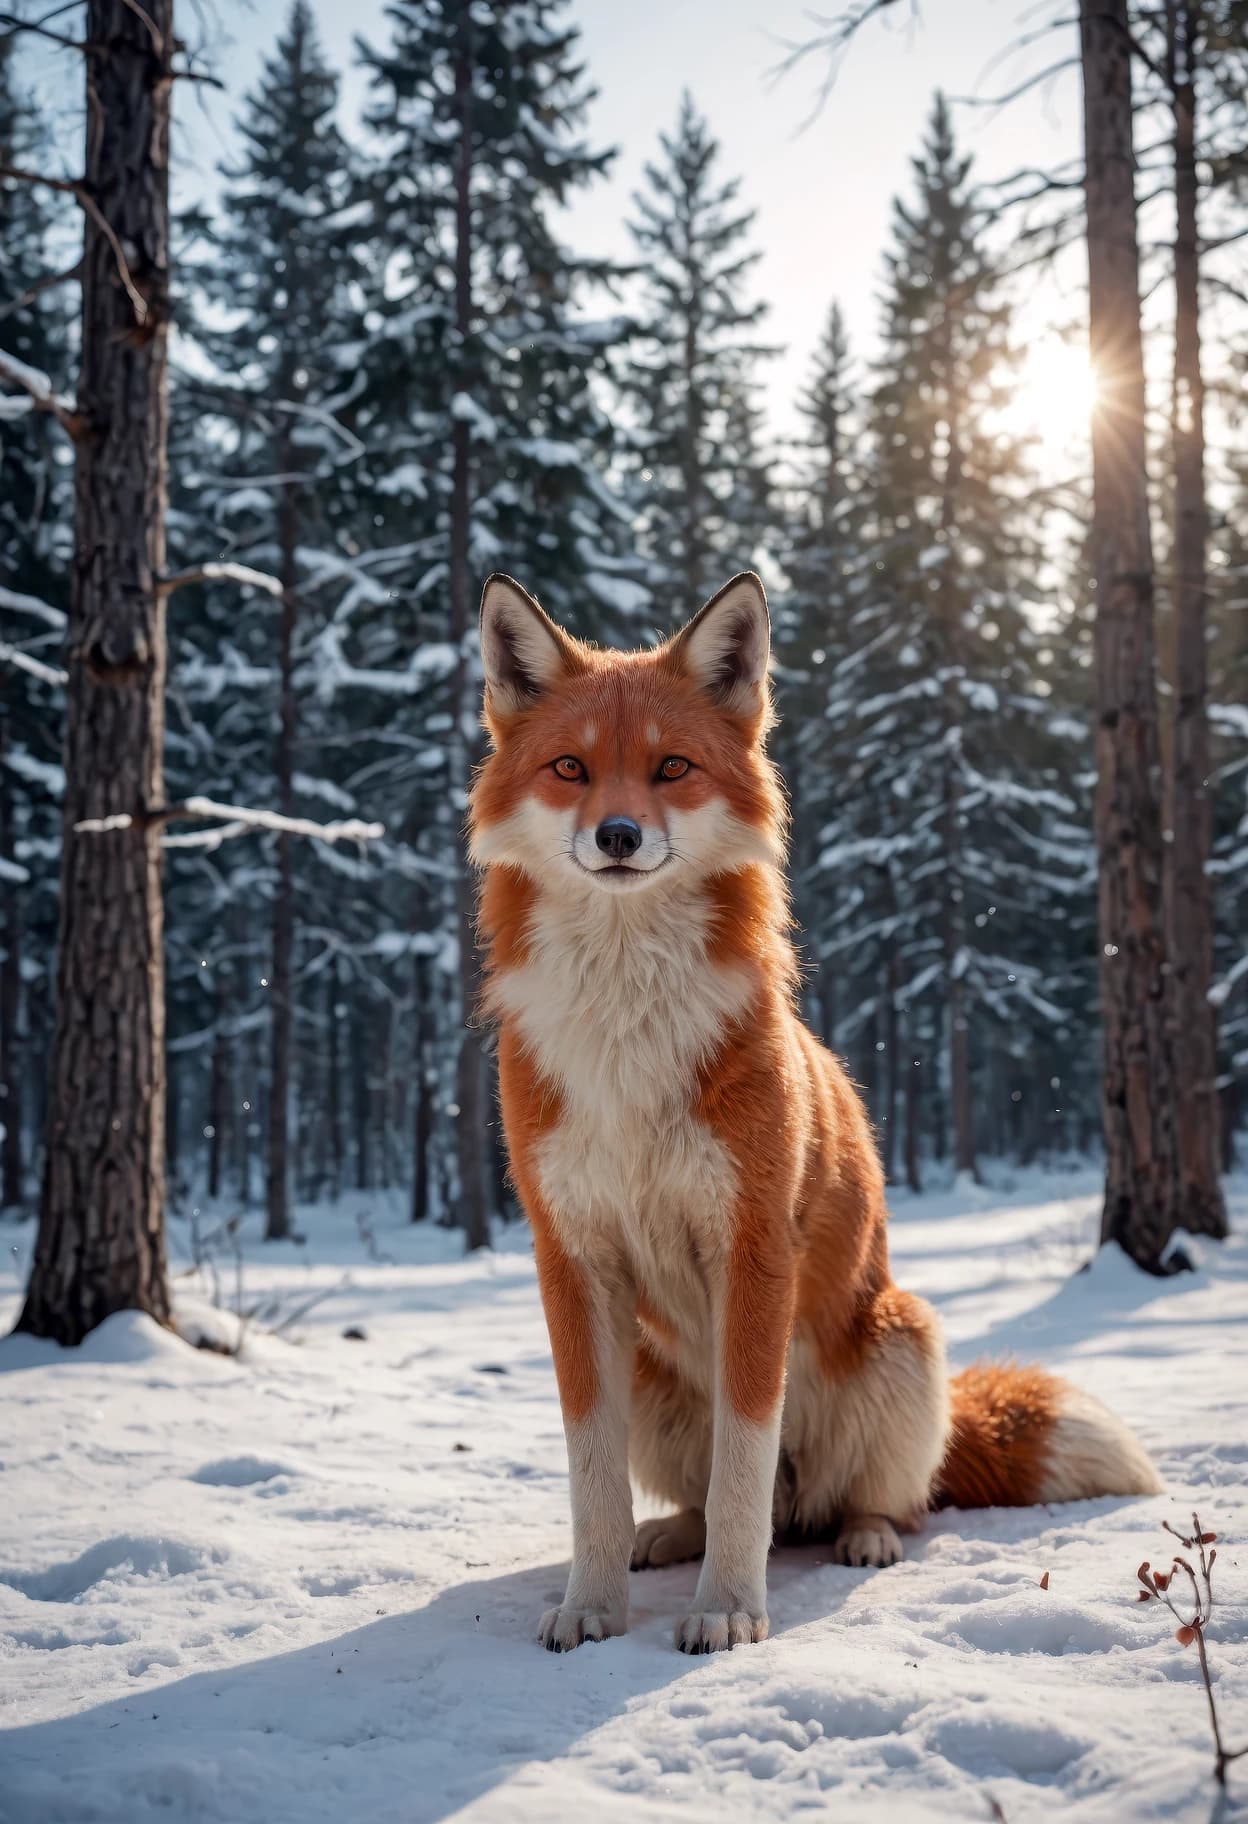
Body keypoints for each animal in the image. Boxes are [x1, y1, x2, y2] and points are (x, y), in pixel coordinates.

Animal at [468, 569, 1163, 1656]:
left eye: (671, 768)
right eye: (570, 768)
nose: (618, 837)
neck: (628, 1028)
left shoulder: (754, 1249)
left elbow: (746, 1465)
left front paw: (727, 1610)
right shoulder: (572, 1258)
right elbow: (594, 1479)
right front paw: (593, 1606)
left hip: (902, 1338)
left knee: (872, 1502)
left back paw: (862, 1538)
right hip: (655, 1377)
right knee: (724, 1500)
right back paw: (668, 1538)